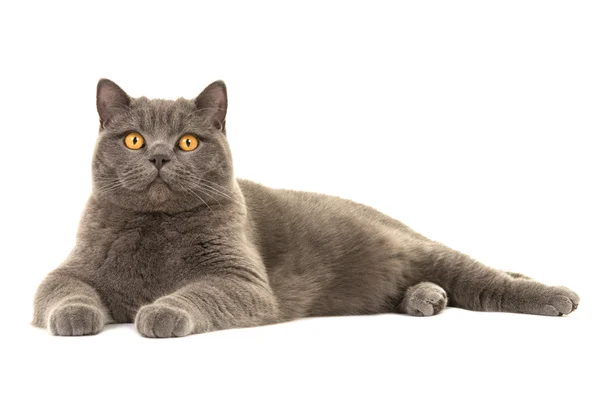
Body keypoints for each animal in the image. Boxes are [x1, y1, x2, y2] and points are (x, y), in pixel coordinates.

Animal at [31, 80, 576, 338]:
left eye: (187, 141)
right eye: (134, 139)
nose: (160, 156)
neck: (157, 231)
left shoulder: (242, 281)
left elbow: (198, 293)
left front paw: (161, 311)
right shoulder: (72, 267)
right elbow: (61, 290)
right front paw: (76, 316)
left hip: (421, 249)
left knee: (488, 279)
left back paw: (557, 295)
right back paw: (427, 298)